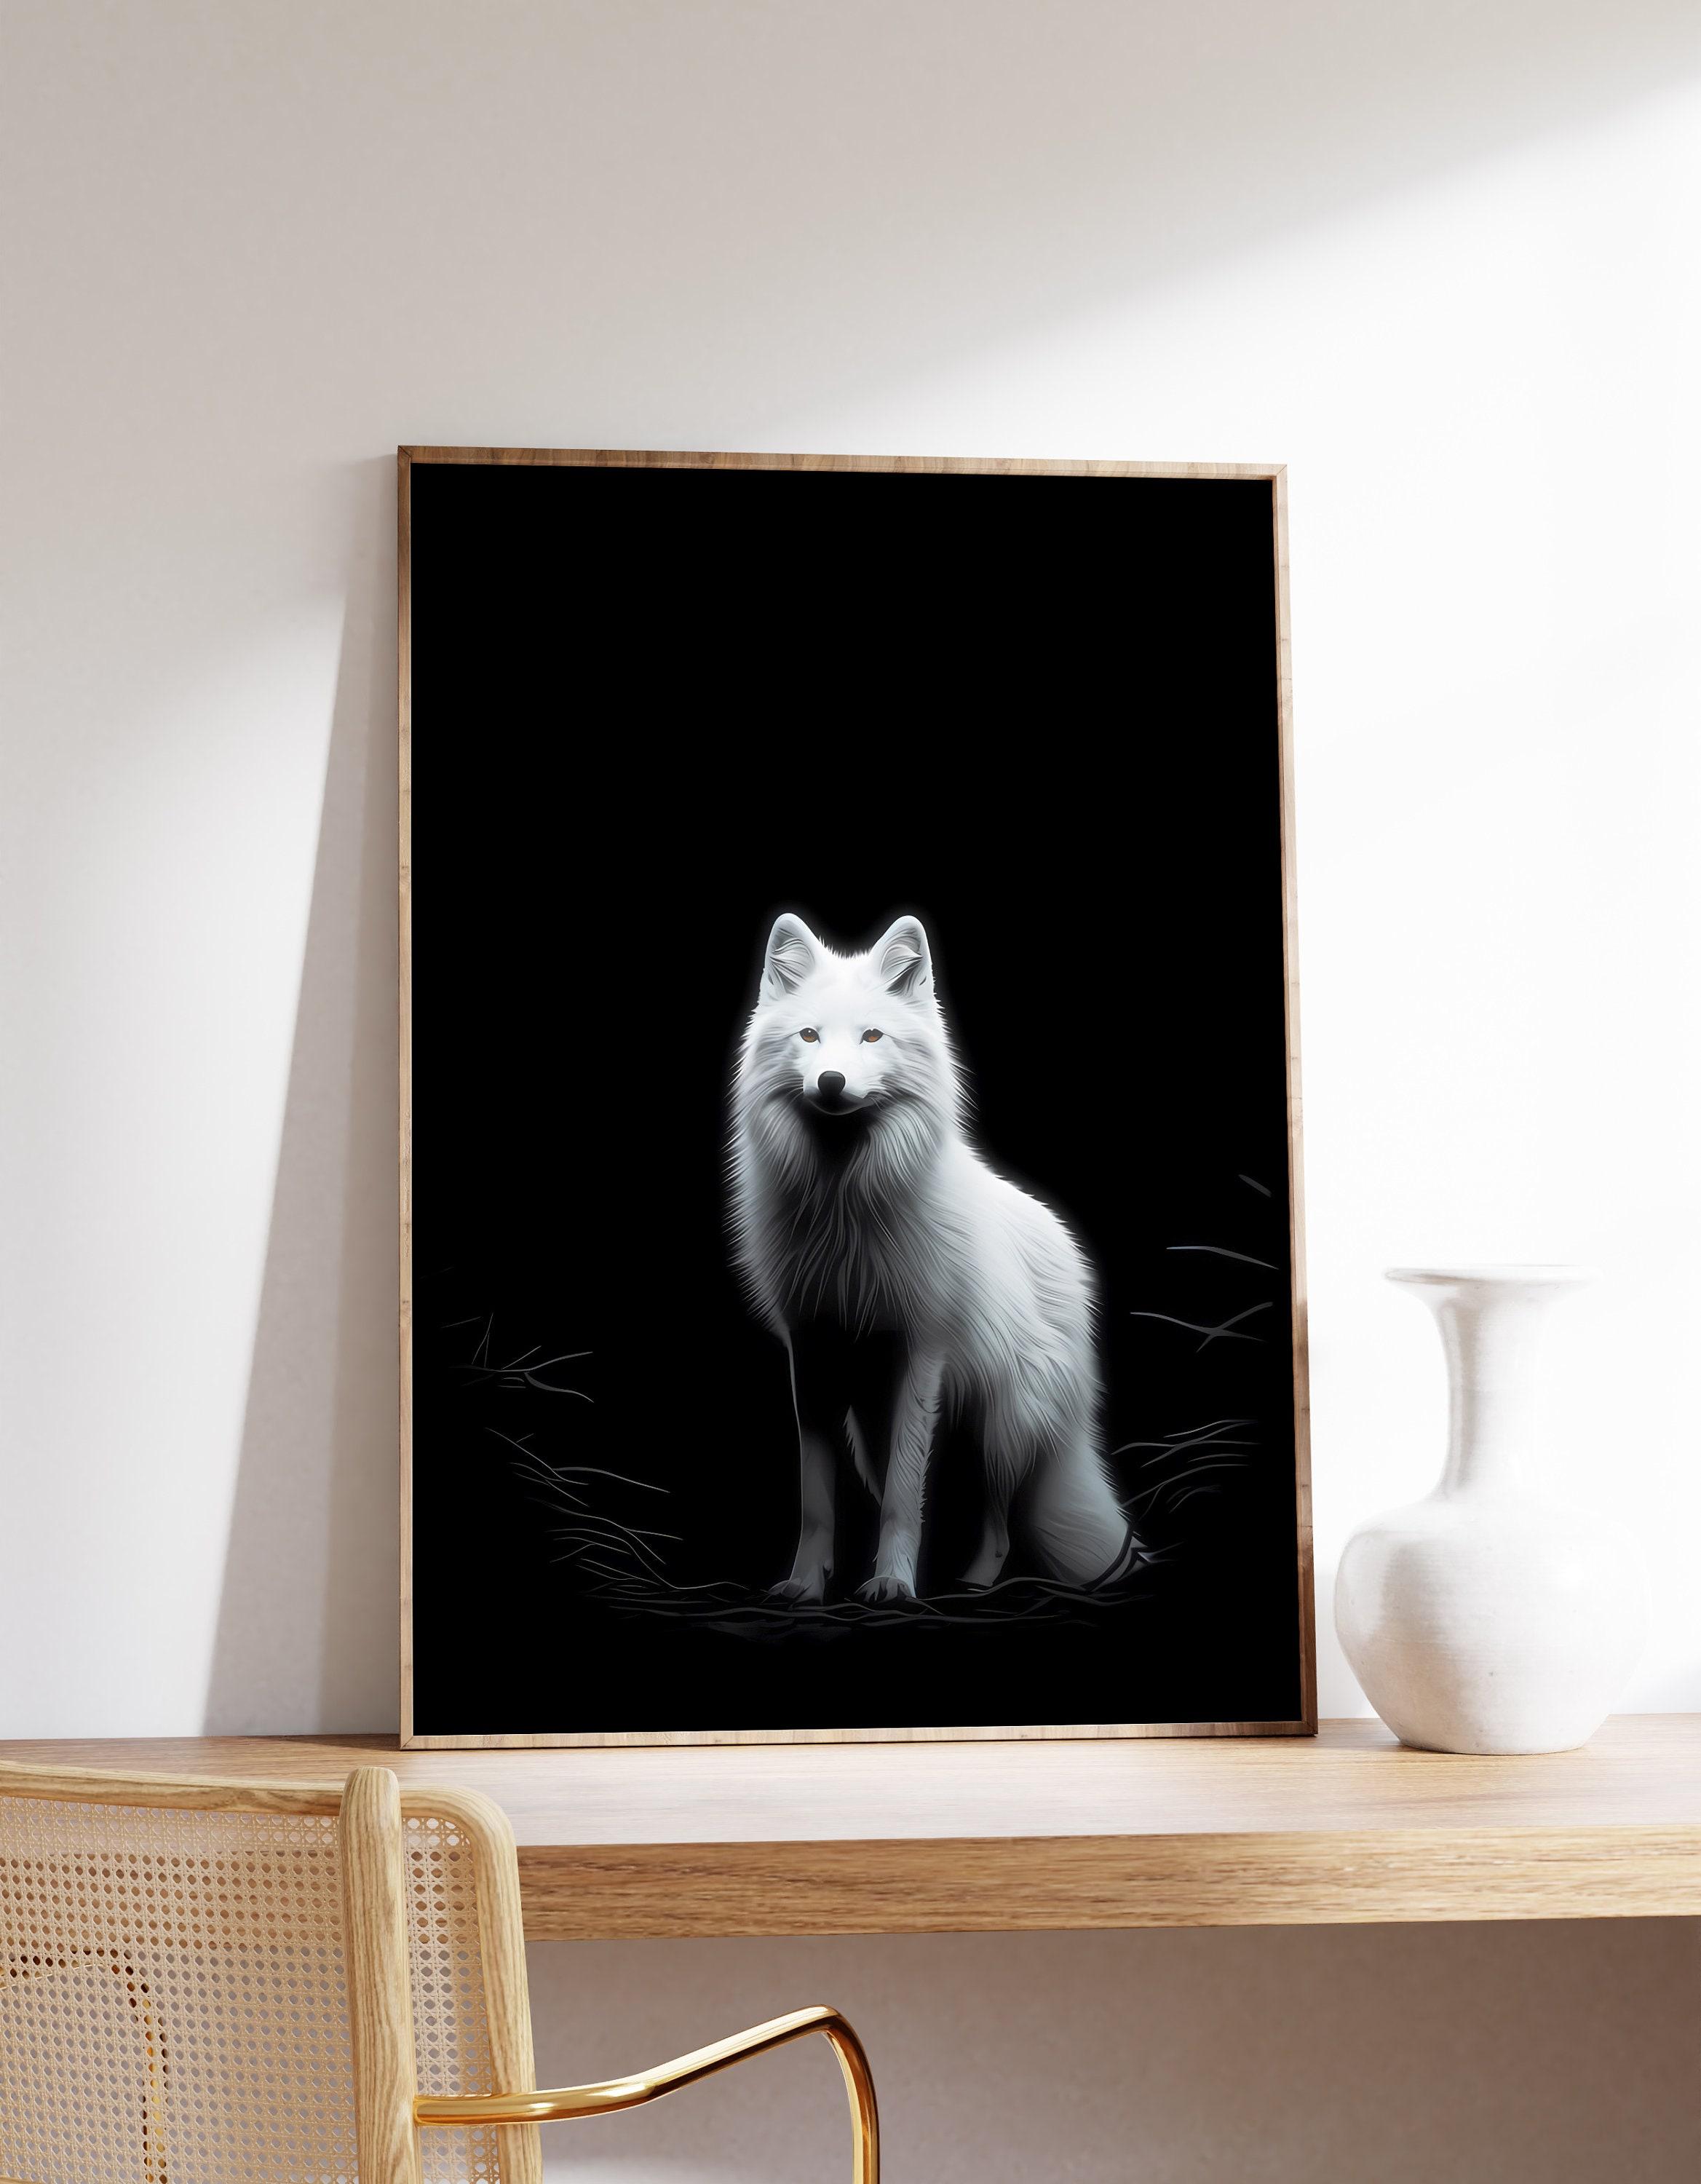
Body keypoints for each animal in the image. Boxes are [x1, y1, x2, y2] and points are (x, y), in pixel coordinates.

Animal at [729, 910, 1137, 1605]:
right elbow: (817, 1499)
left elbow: (902, 1496)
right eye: (809, 1036)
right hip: (877, 1430)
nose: (831, 1082)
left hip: (1002, 1426)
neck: (844, 1206)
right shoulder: (809, 1348)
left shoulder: (922, 1350)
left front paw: (892, 1582)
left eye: (872, 1036)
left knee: (999, 1521)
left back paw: (973, 1587)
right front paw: (807, 1583)